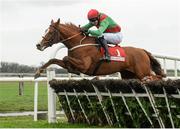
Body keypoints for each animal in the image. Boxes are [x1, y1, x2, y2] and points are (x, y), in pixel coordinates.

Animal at [34, 18, 165, 80]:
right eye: (45, 30)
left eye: (50, 32)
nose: (38, 45)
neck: (78, 43)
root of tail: (143, 51)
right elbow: (54, 60)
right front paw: (38, 72)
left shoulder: (85, 65)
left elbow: (66, 58)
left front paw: (74, 71)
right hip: (129, 75)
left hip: (142, 72)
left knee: (156, 77)